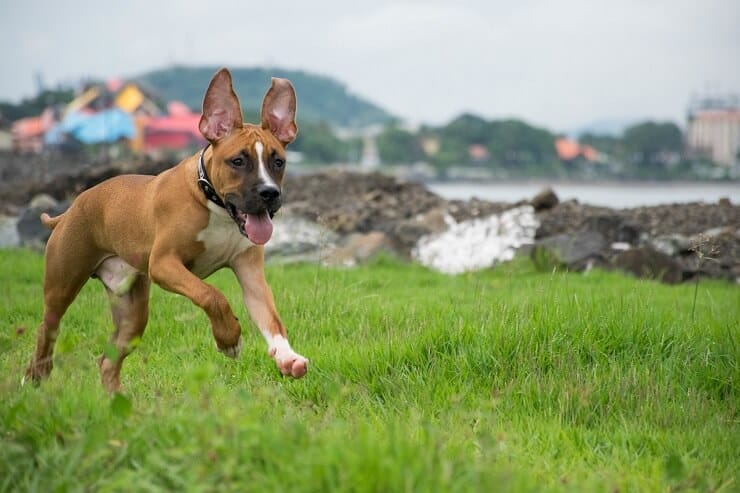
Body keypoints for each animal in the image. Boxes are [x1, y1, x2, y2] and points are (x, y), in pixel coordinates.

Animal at [25, 67, 310, 390]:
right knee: (47, 327)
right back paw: (36, 376)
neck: (216, 206)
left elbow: (271, 318)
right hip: (62, 284)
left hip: (132, 312)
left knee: (108, 361)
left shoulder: (251, 275)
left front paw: (287, 357)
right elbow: (212, 295)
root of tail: (70, 209)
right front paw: (228, 339)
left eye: (279, 162)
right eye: (238, 161)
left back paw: (117, 399)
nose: (269, 193)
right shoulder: (164, 264)